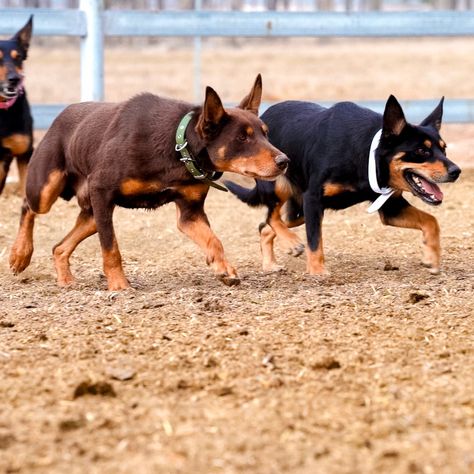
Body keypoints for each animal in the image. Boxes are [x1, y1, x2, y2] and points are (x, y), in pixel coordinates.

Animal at [8, 75, 288, 288]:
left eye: (265, 133)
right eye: (242, 137)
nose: (284, 160)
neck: (177, 145)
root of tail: (59, 116)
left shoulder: (190, 213)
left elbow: (213, 240)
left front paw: (224, 269)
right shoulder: (102, 190)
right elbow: (111, 249)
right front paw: (119, 286)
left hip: (93, 215)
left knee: (59, 247)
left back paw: (65, 280)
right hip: (48, 190)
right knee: (27, 206)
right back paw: (20, 254)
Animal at [224, 96, 462, 274]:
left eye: (444, 148)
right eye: (422, 151)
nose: (456, 171)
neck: (365, 153)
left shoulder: (390, 208)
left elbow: (431, 221)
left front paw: (431, 258)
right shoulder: (313, 199)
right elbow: (314, 241)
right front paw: (317, 272)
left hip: (299, 212)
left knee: (265, 225)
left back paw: (271, 264)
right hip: (280, 187)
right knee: (271, 217)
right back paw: (291, 244)